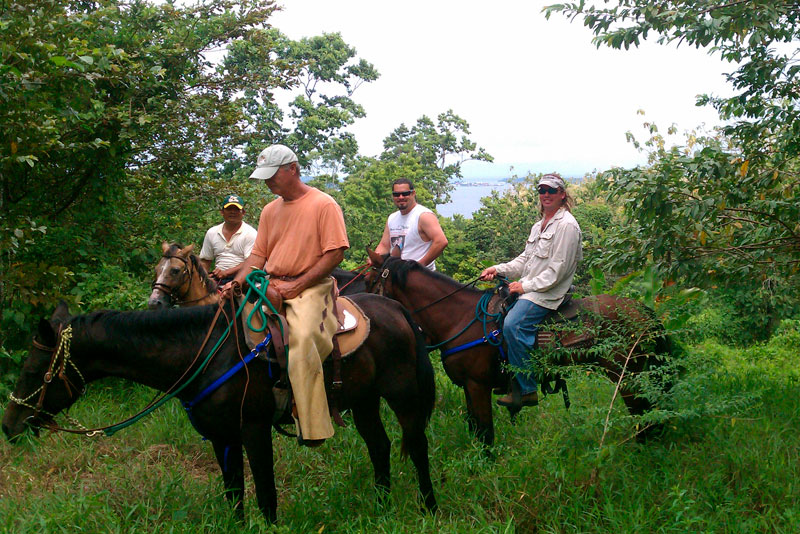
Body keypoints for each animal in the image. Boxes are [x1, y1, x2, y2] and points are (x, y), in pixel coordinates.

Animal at [1, 294, 438, 524]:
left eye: (35, 371)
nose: (9, 425)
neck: (209, 353)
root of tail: (394, 308)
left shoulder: (254, 431)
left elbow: (265, 495)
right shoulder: (221, 437)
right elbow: (234, 494)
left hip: (403, 396)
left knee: (417, 447)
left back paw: (428, 508)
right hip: (364, 401)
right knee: (380, 447)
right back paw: (381, 507)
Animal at [366, 251, 672, 448]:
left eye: (369, 281)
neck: (458, 317)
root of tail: (642, 310)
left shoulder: (477, 385)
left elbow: (485, 434)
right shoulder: (468, 386)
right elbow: (475, 430)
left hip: (627, 373)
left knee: (643, 410)